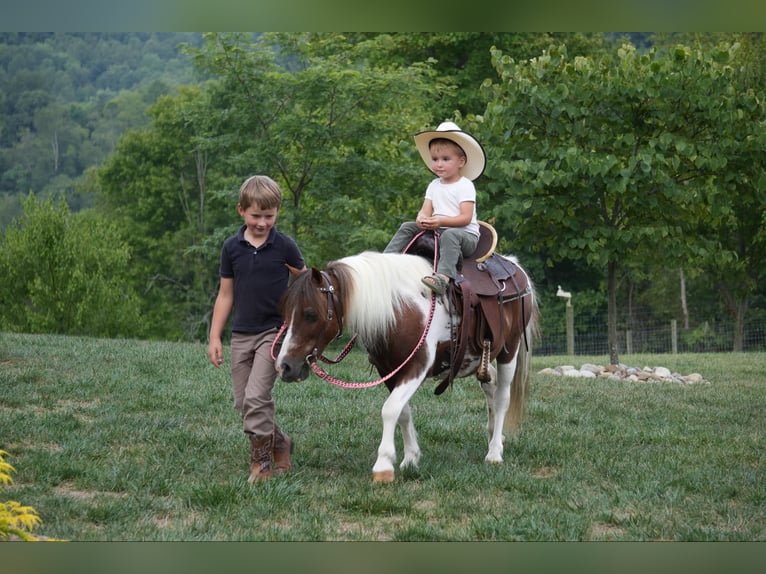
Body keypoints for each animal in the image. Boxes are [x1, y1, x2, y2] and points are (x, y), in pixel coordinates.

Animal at [276, 250, 540, 484]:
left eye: (311, 314)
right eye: (285, 312)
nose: (284, 366)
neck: (400, 309)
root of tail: (515, 267)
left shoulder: (417, 365)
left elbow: (390, 409)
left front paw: (384, 465)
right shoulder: (389, 370)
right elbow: (402, 411)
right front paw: (411, 458)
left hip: (509, 349)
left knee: (502, 397)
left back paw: (494, 452)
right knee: (489, 384)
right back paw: (495, 434)